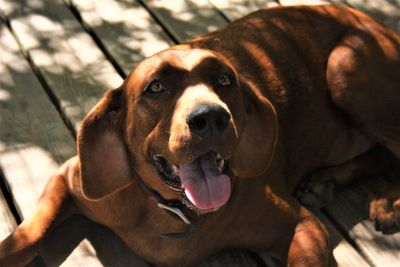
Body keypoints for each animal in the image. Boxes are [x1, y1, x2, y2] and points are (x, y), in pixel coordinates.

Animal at [0, 4, 400, 267]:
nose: (210, 118)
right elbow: (28, 233)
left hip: (345, 66)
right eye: (156, 87)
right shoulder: (68, 177)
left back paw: (387, 203)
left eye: (225, 80)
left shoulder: (304, 227)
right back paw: (325, 181)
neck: (174, 212)